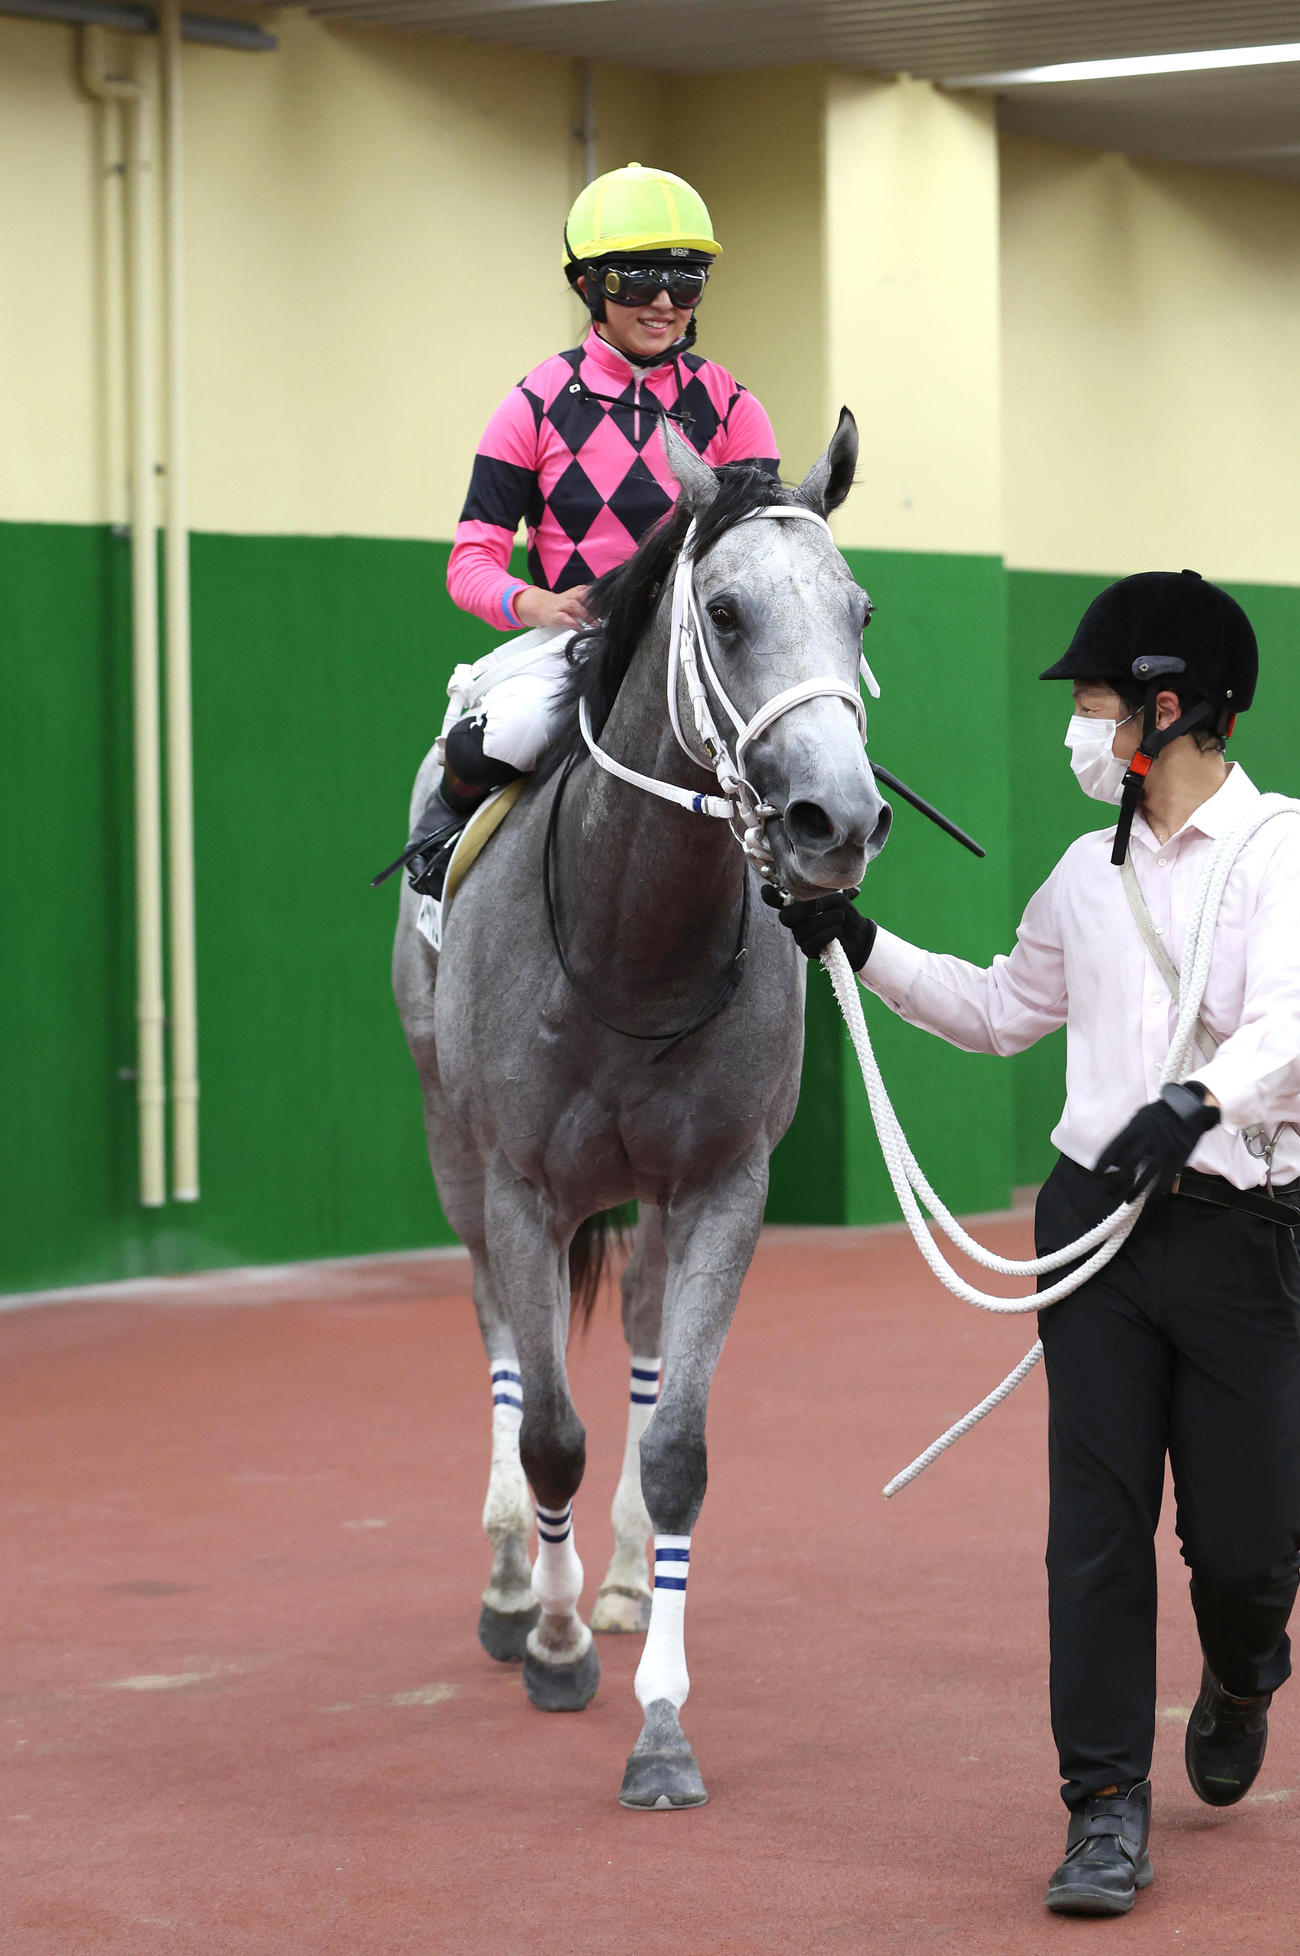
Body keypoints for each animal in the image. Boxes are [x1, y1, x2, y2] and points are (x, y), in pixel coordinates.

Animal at [392, 409, 891, 1808]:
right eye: (723, 612)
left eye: (859, 609)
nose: (837, 818)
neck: (631, 946)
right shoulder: (521, 1185)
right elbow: (553, 1428)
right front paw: (556, 1645)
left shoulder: (721, 1184)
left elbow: (675, 1444)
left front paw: (661, 1723)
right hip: (455, 1150)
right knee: (505, 1340)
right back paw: (519, 1584)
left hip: (653, 1201)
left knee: (644, 1345)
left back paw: (613, 1579)